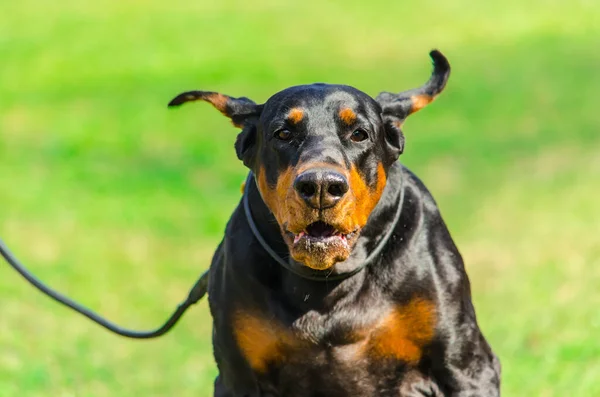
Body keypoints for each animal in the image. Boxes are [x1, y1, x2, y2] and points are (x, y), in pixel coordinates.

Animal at [166, 50, 500, 396]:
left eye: (359, 134)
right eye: (283, 134)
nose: (321, 186)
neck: (328, 283)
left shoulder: (466, 368)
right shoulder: (237, 377)